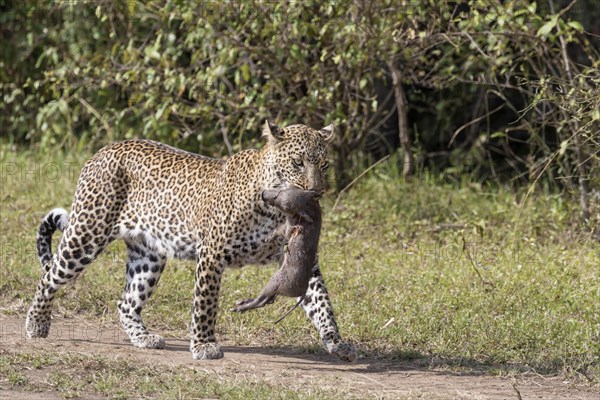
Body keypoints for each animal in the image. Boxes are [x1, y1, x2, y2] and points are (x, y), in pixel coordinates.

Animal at [24, 120, 356, 360]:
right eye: (298, 162)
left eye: (324, 165)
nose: (317, 190)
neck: (273, 208)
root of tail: (102, 151)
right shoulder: (212, 253)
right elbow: (205, 303)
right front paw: (204, 344)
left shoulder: (299, 259)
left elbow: (321, 301)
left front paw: (336, 342)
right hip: (87, 234)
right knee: (49, 275)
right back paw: (36, 324)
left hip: (149, 256)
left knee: (126, 301)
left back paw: (143, 338)